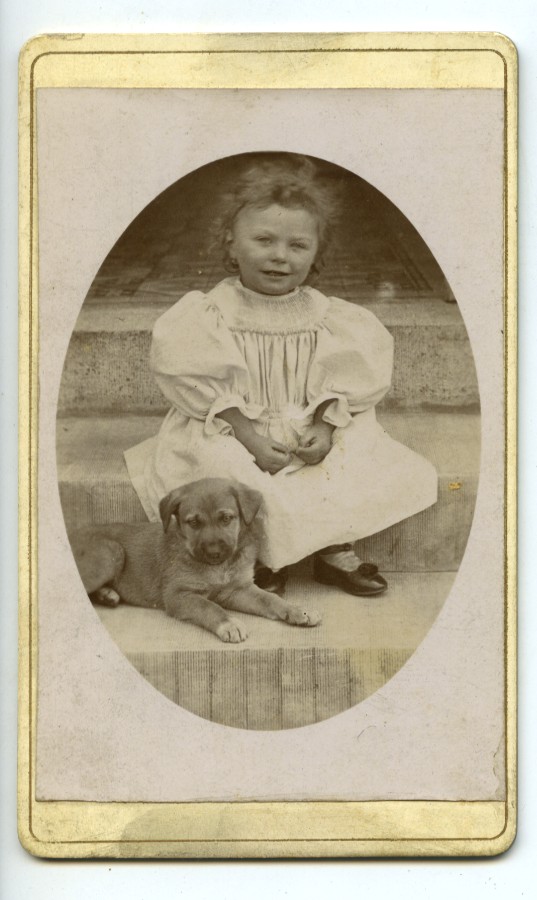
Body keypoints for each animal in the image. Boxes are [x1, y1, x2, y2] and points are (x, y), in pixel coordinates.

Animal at [69, 478, 322, 643]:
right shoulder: (179, 595)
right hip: (110, 553)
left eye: (226, 518)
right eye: (193, 522)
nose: (214, 552)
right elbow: (209, 606)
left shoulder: (237, 590)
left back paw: (108, 595)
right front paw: (229, 624)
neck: (217, 568)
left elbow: (270, 599)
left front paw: (298, 610)